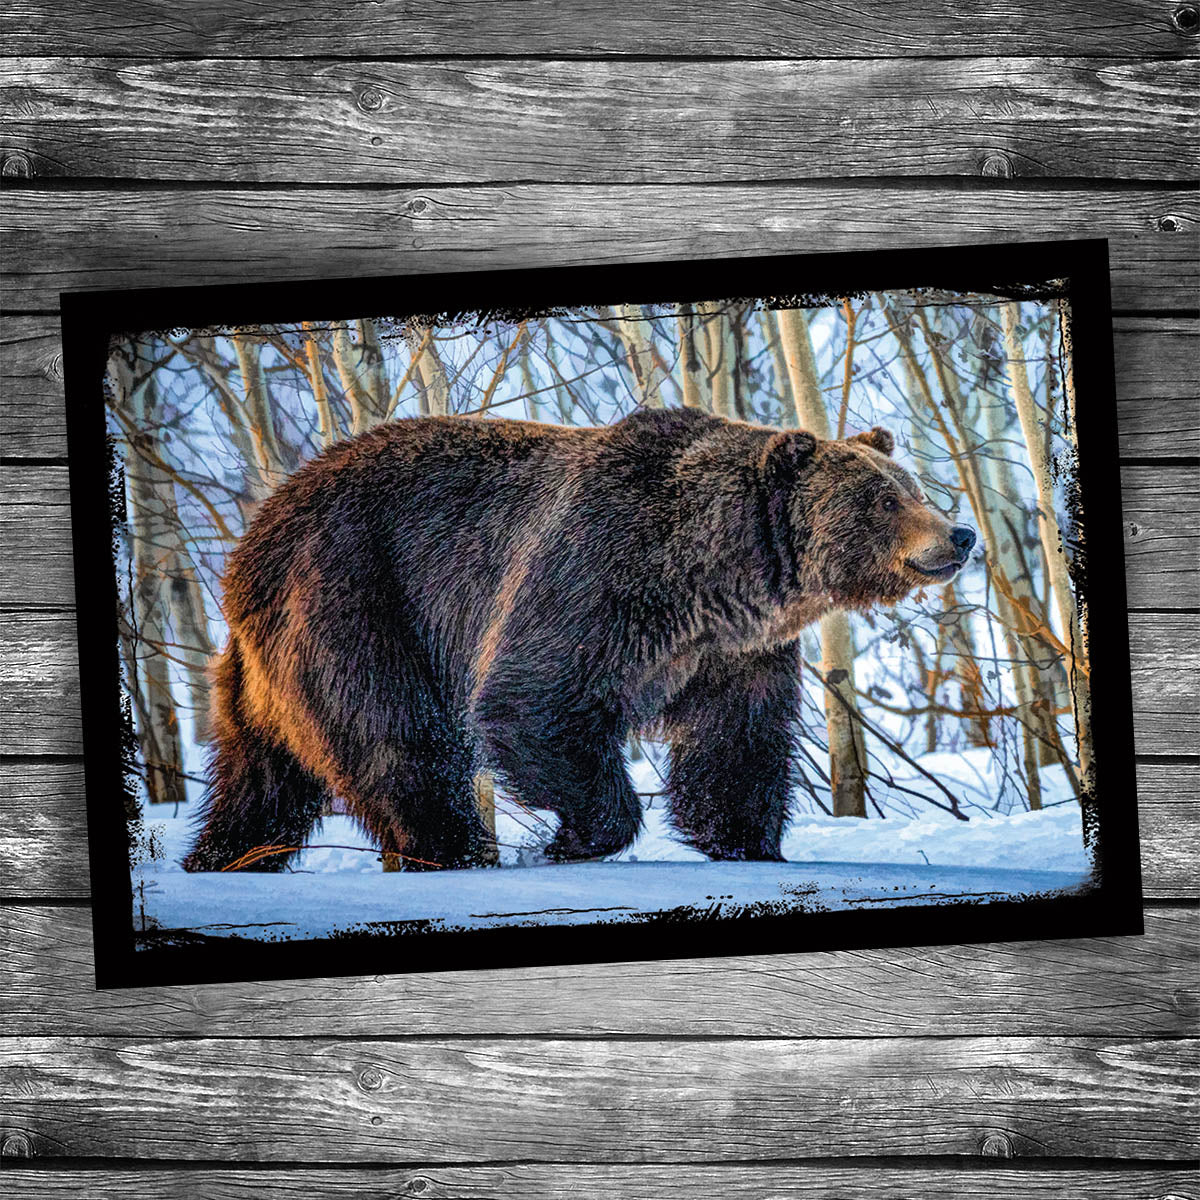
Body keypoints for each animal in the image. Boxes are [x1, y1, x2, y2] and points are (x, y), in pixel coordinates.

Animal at [181, 407, 976, 873]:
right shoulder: (595, 578)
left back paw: (223, 857)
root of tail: (249, 541)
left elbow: (738, 741)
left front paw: (747, 843)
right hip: (354, 599)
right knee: (399, 742)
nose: (959, 533)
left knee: (260, 778)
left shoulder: (732, 652)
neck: (718, 575)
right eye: (884, 498)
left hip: (264, 669)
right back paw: (455, 853)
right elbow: (532, 701)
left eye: (914, 486)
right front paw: (566, 841)